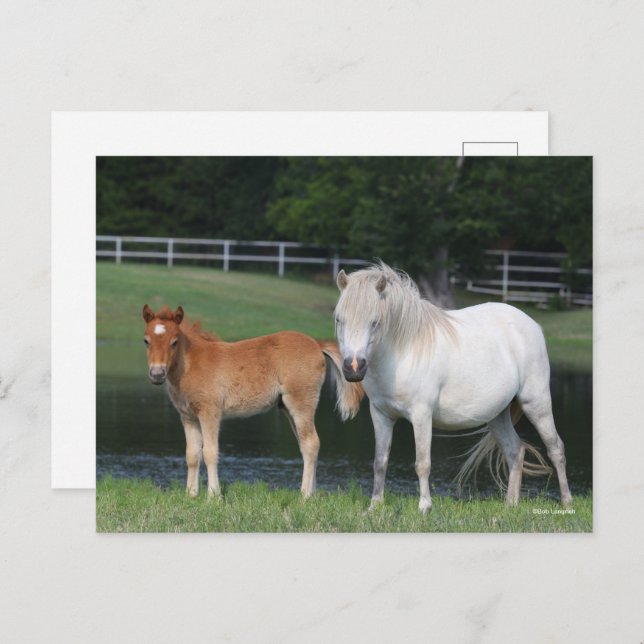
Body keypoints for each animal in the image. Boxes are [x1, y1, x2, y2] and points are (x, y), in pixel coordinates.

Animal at [141, 304, 364, 498]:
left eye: (174, 341)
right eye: (146, 340)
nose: (157, 374)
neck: (190, 364)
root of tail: (317, 344)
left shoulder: (210, 412)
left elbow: (210, 452)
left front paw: (213, 496)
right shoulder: (188, 416)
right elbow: (192, 455)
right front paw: (191, 495)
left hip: (301, 403)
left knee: (311, 443)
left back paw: (305, 496)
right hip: (288, 409)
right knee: (306, 445)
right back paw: (313, 494)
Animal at [333, 262, 573, 513]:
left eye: (375, 322)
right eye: (339, 320)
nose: (353, 367)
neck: (404, 351)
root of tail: (533, 325)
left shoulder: (421, 415)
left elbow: (422, 463)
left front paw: (424, 507)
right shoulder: (381, 415)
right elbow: (380, 462)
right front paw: (374, 507)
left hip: (536, 402)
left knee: (556, 448)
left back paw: (567, 502)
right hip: (498, 414)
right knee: (515, 450)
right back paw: (510, 505)